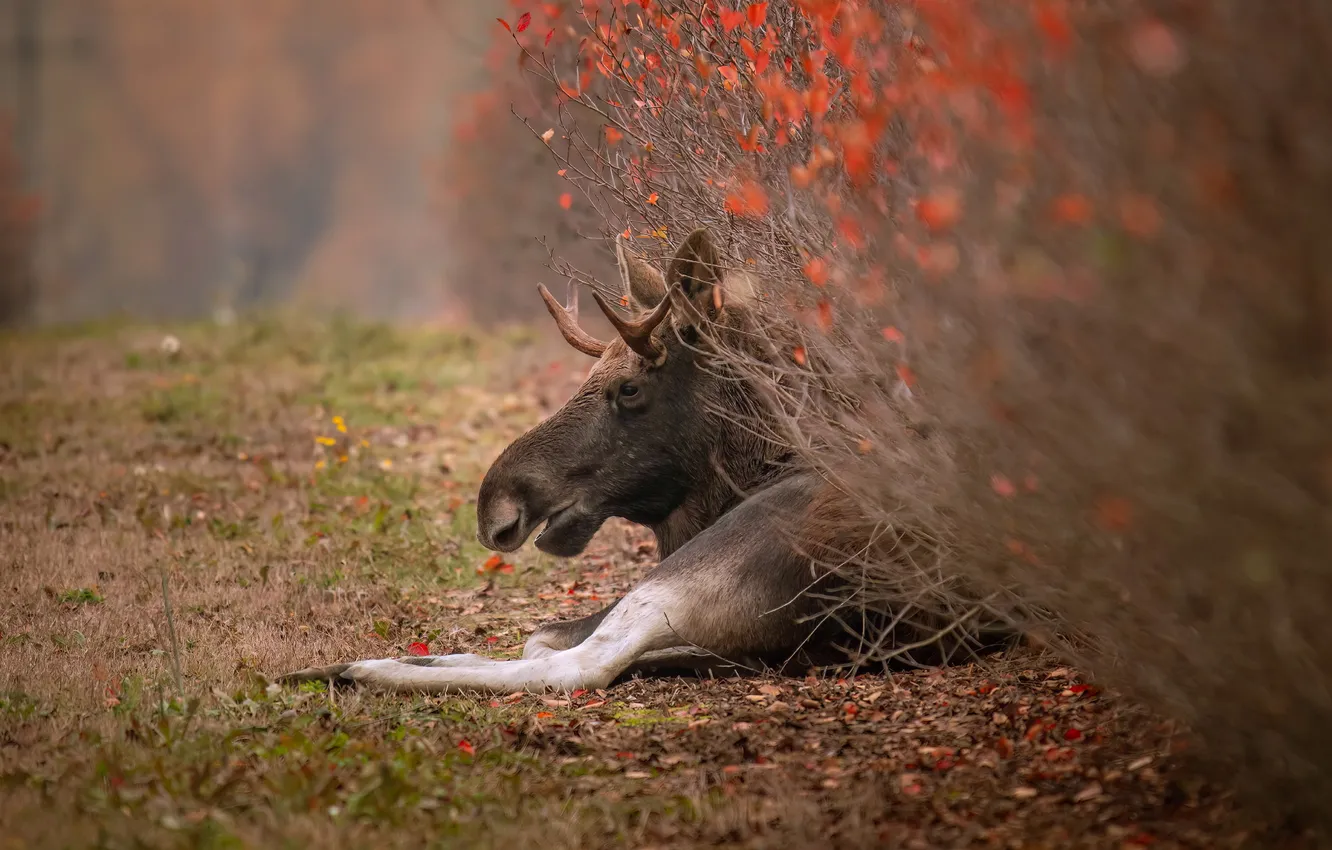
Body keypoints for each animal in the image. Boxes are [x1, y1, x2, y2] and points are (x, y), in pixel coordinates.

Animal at [279, 227, 1008, 694]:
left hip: (712, 561)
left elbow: (545, 641)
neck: (757, 464)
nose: (496, 505)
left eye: (629, 388)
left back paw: (359, 670)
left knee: (576, 666)